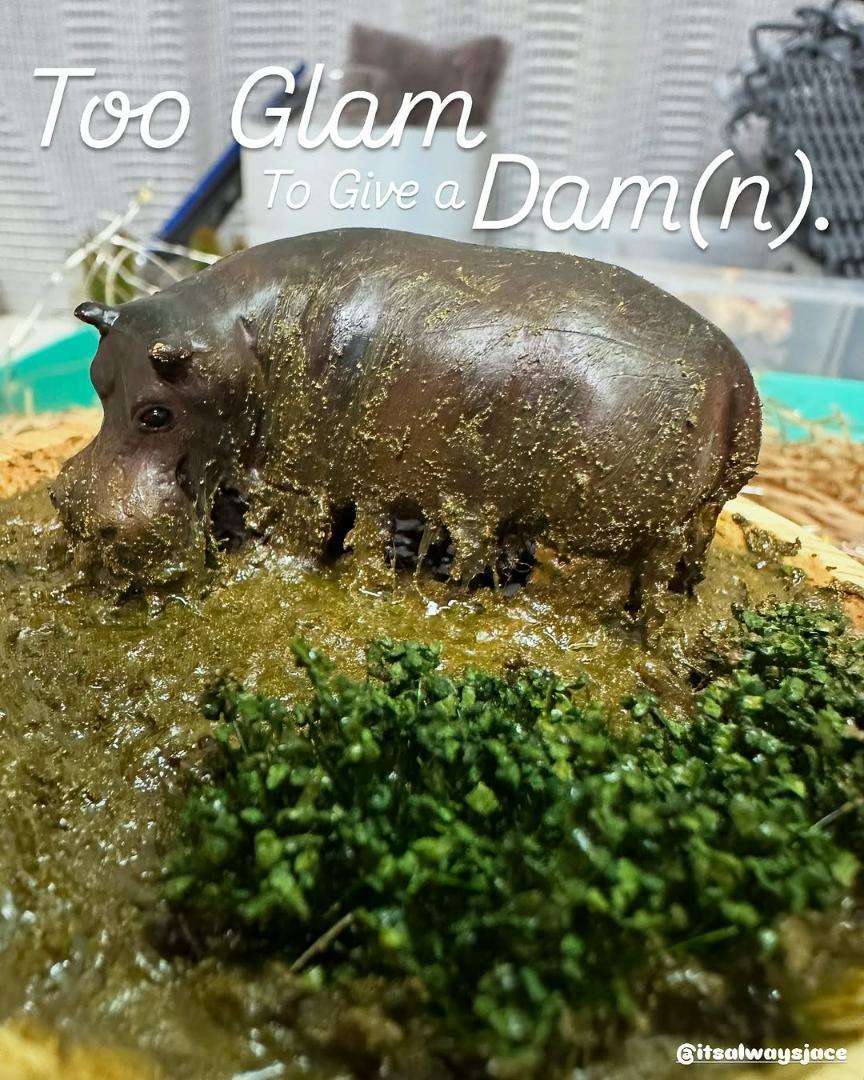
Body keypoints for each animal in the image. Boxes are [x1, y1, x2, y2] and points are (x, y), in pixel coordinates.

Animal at [53, 228, 760, 607]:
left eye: (155, 413)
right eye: (96, 381)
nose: (67, 502)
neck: (237, 336)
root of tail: (736, 384)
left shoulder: (310, 476)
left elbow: (314, 531)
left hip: (638, 528)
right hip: (699, 517)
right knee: (682, 571)